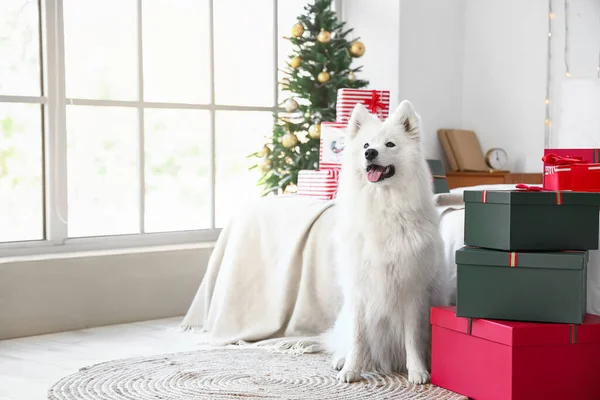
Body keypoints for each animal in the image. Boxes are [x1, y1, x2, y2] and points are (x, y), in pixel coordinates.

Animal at [328, 100, 450, 384]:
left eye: (390, 144)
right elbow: (357, 337)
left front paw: (417, 371)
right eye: (365, 145)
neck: (383, 206)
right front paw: (352, 369)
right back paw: (340, 360)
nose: (370, 153)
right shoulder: (359, 289)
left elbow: (412, 338)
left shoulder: (412, 290)